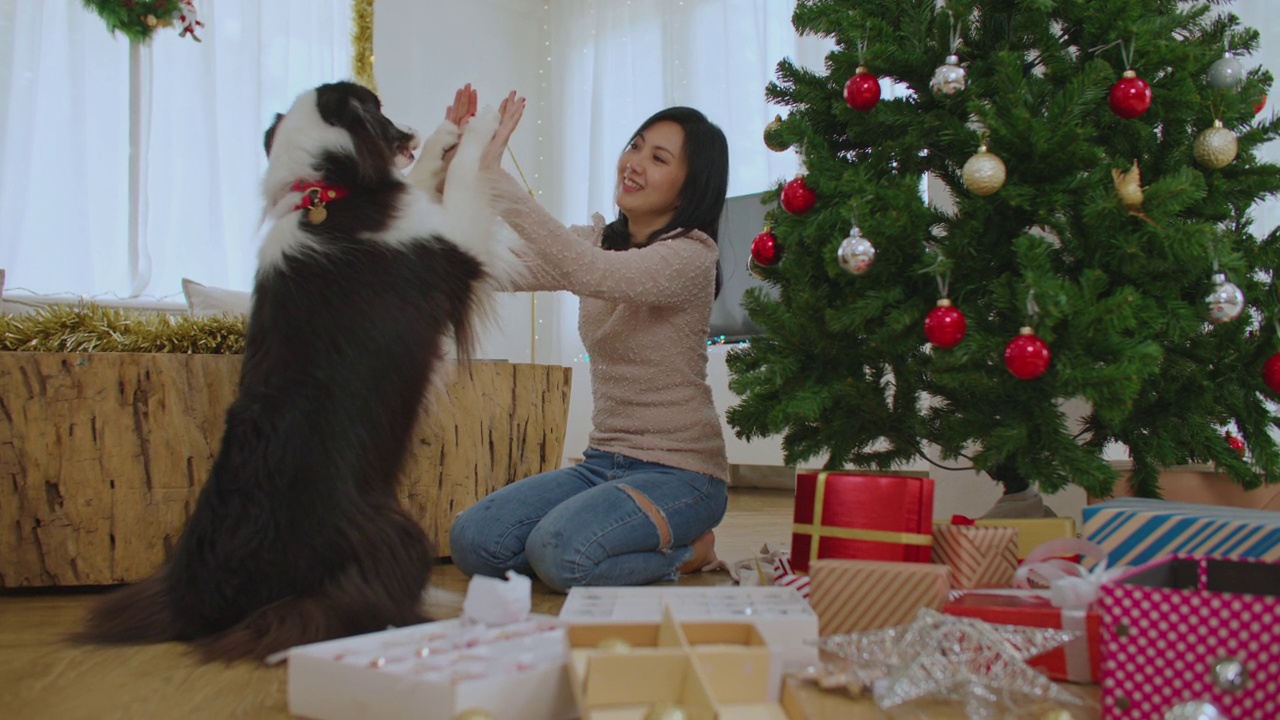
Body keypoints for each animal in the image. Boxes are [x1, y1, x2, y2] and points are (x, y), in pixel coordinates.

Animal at [74, 81, 512, 661]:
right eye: (378, 109)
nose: (413, 133)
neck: (324, 192)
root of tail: (208, 604)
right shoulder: (450, 246)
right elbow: (461, 177)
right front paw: (481, 126)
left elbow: (423, 179)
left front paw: (447, 134)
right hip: (392, 532)